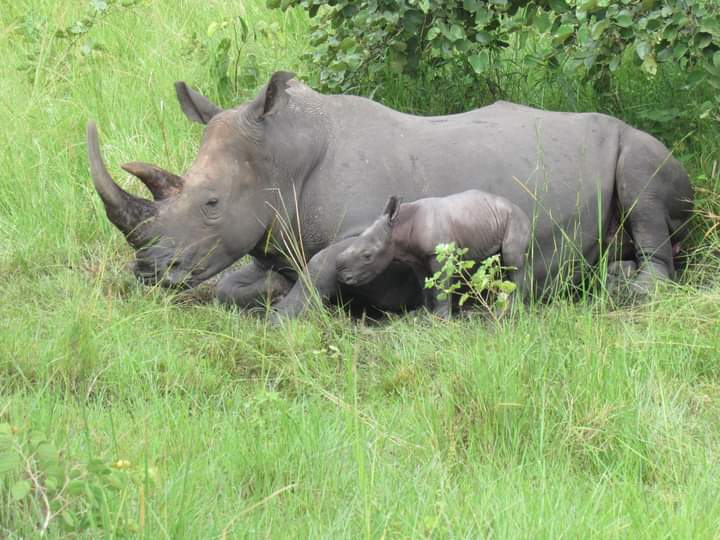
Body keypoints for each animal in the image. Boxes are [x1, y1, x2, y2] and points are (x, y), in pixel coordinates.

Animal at [87, 71, 693, 319]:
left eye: (211, 204)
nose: (148, 271)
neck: (283, 154)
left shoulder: (378, 233)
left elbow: (325, 266)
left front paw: (288, 317)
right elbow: (232, 286)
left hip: (644, 146)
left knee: (644, 183)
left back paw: (620, 285)